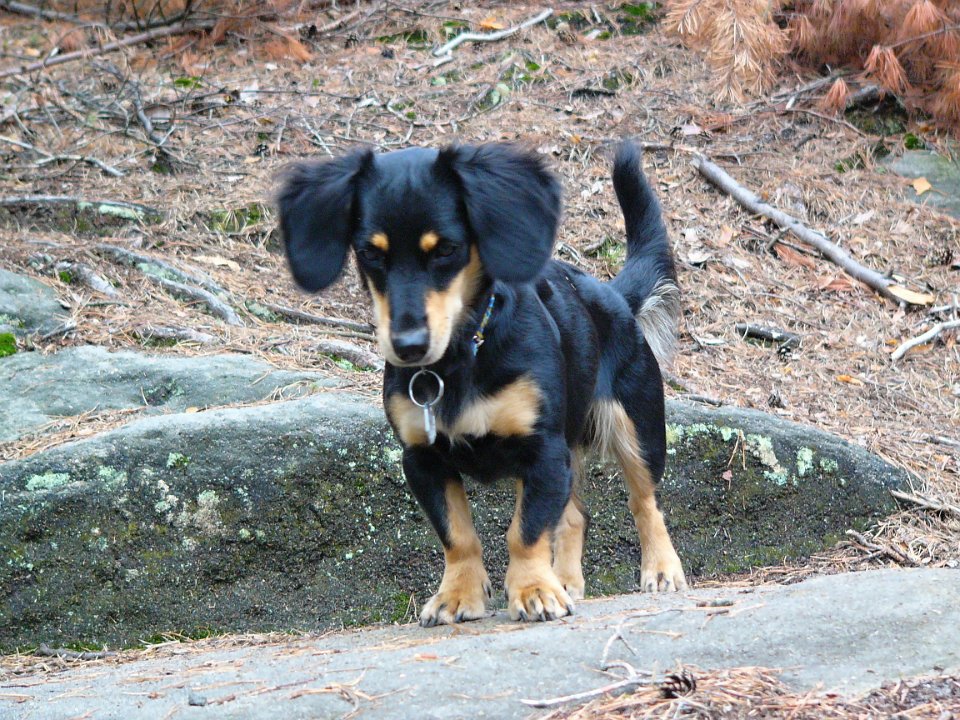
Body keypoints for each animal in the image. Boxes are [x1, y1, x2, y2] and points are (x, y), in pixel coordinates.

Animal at [277, 141, 687, 626]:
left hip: (636, 427)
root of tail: (614, 296)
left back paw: (660, 569)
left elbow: (524, 531)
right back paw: (565, 581)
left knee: (646, 503)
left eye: (447, 249)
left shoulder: (542, 451)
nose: (408, 346)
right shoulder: (423, 460)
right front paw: (459, 594)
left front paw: (532, 589)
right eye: (371, 253)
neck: (459, 360)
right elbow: (459, 535)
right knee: (573, 517)